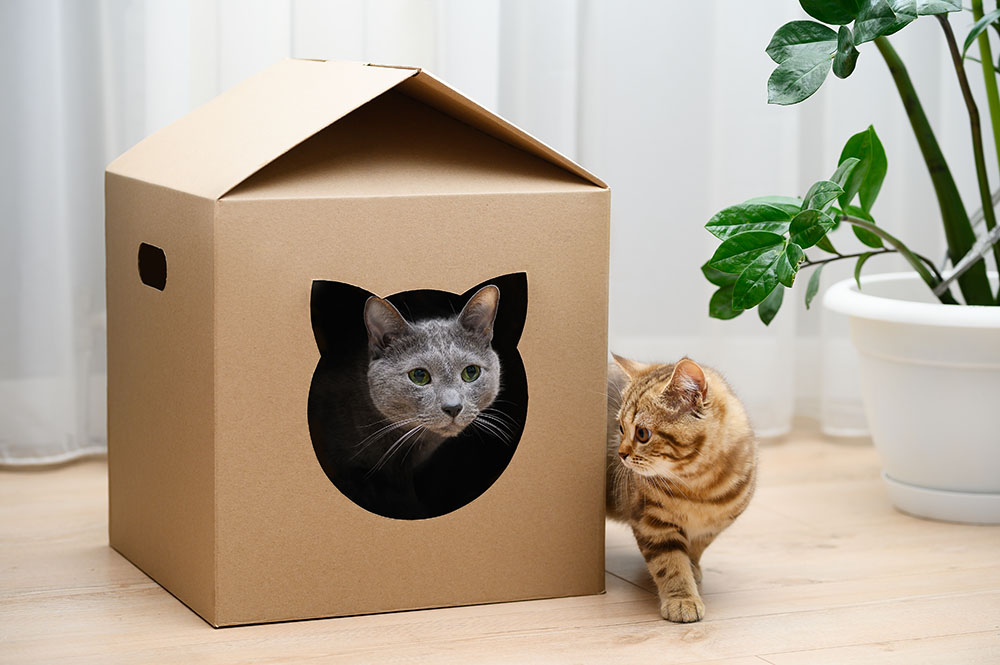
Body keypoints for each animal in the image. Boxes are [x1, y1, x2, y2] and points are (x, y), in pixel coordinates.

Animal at [604, 356, 752, 620]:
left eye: (642, 433)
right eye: (620, 428)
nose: (620, 454)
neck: (699, 489)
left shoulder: (715, 525)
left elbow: (696, 548)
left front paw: (693, 569)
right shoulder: (652, 523)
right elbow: (670, 563)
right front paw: (682, 598)